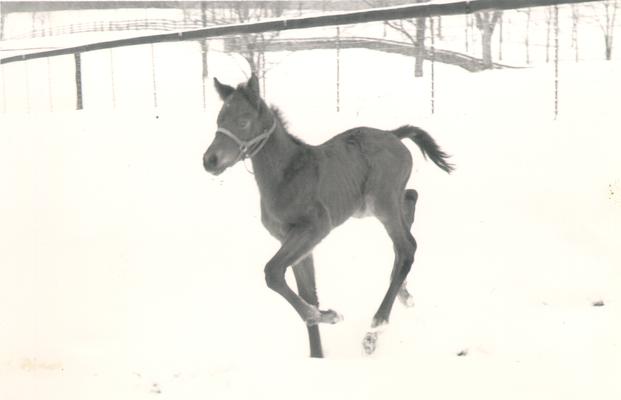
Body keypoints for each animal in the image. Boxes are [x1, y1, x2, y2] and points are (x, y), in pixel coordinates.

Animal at [203, 74, 450, 356]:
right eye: (219, 120)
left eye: (243, 121)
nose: (209, 160)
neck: (286, 176)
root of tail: (393, 134)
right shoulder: (292, 241)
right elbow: (306, 292)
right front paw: (317, 351)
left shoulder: (314, 228)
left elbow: (273, 272)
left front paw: (328, 315)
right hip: (372, 205)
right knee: (410, 201)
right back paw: (403, 294)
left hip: (382, 202)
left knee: (407, 247)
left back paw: (375, 329)